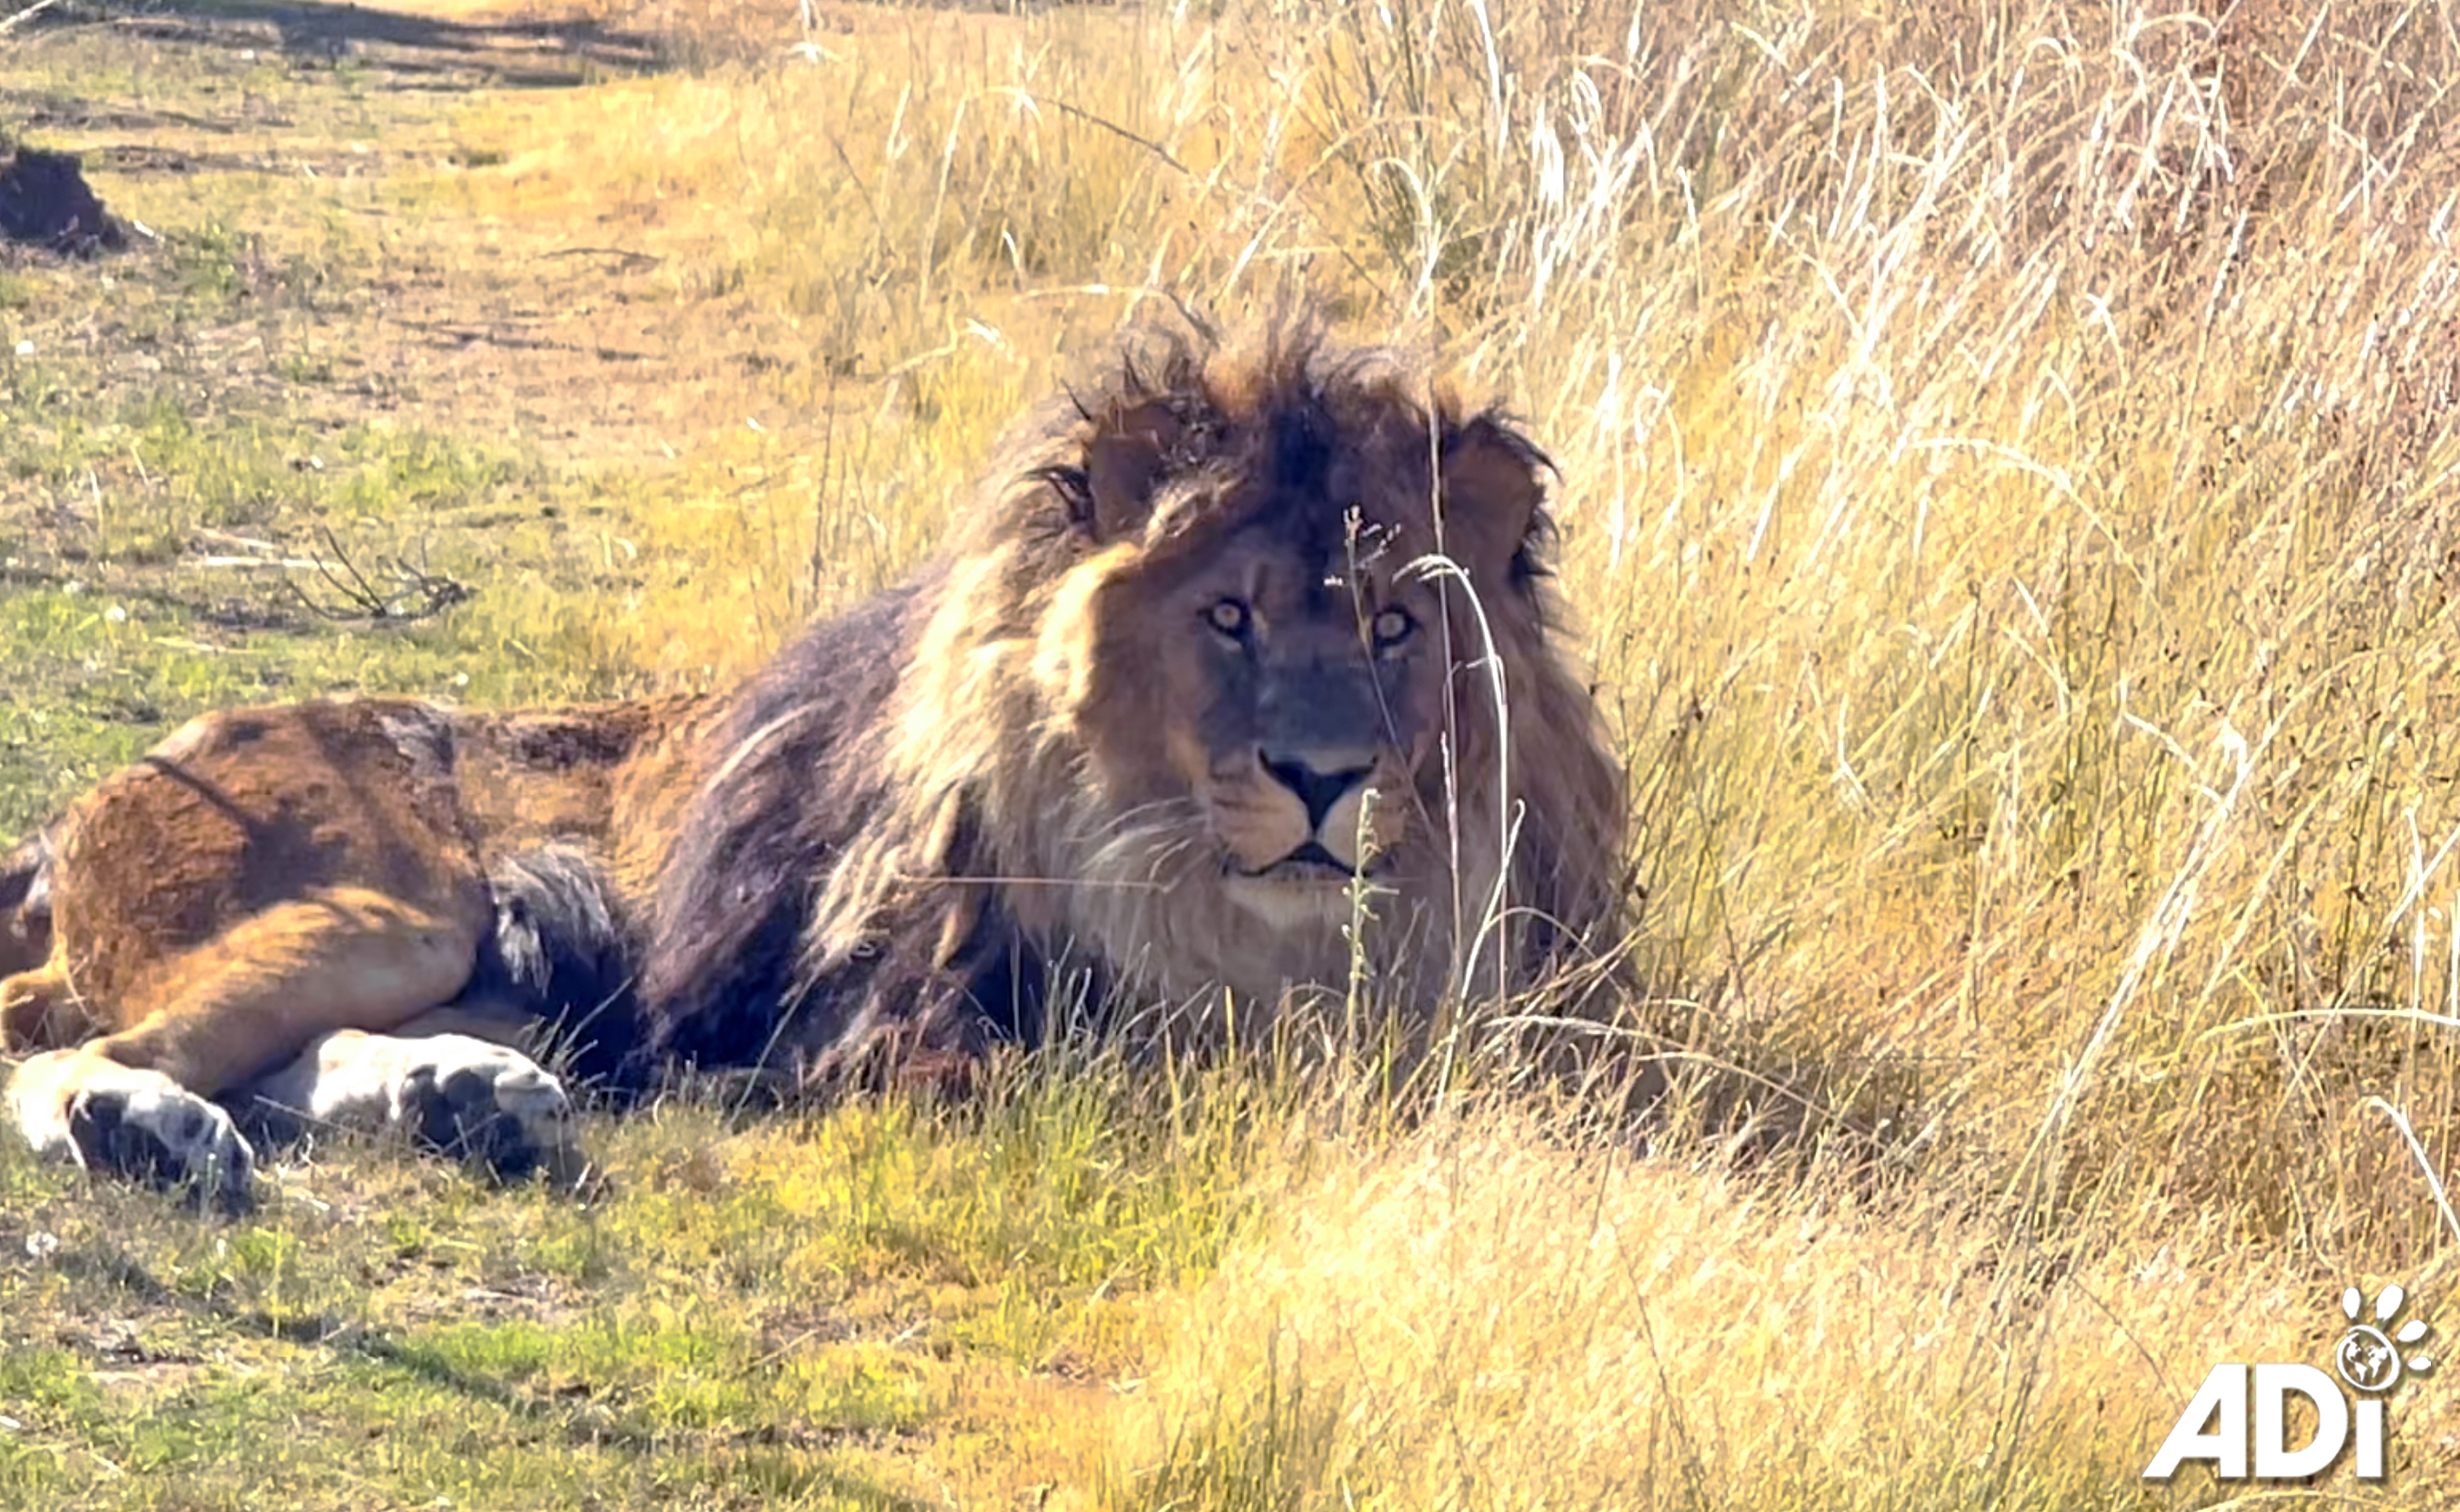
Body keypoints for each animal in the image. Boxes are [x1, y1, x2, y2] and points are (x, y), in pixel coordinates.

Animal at [0, 305, 1630, 1207]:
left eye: (1396, 623)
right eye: (1228, 616)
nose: (1321, 779)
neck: (1227, 928)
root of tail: (96, 800)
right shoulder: (883, 1039)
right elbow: (1125, 1081)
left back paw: (466, 1100)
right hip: (394, 908)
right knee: (62, 1051)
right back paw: (147, 1128)